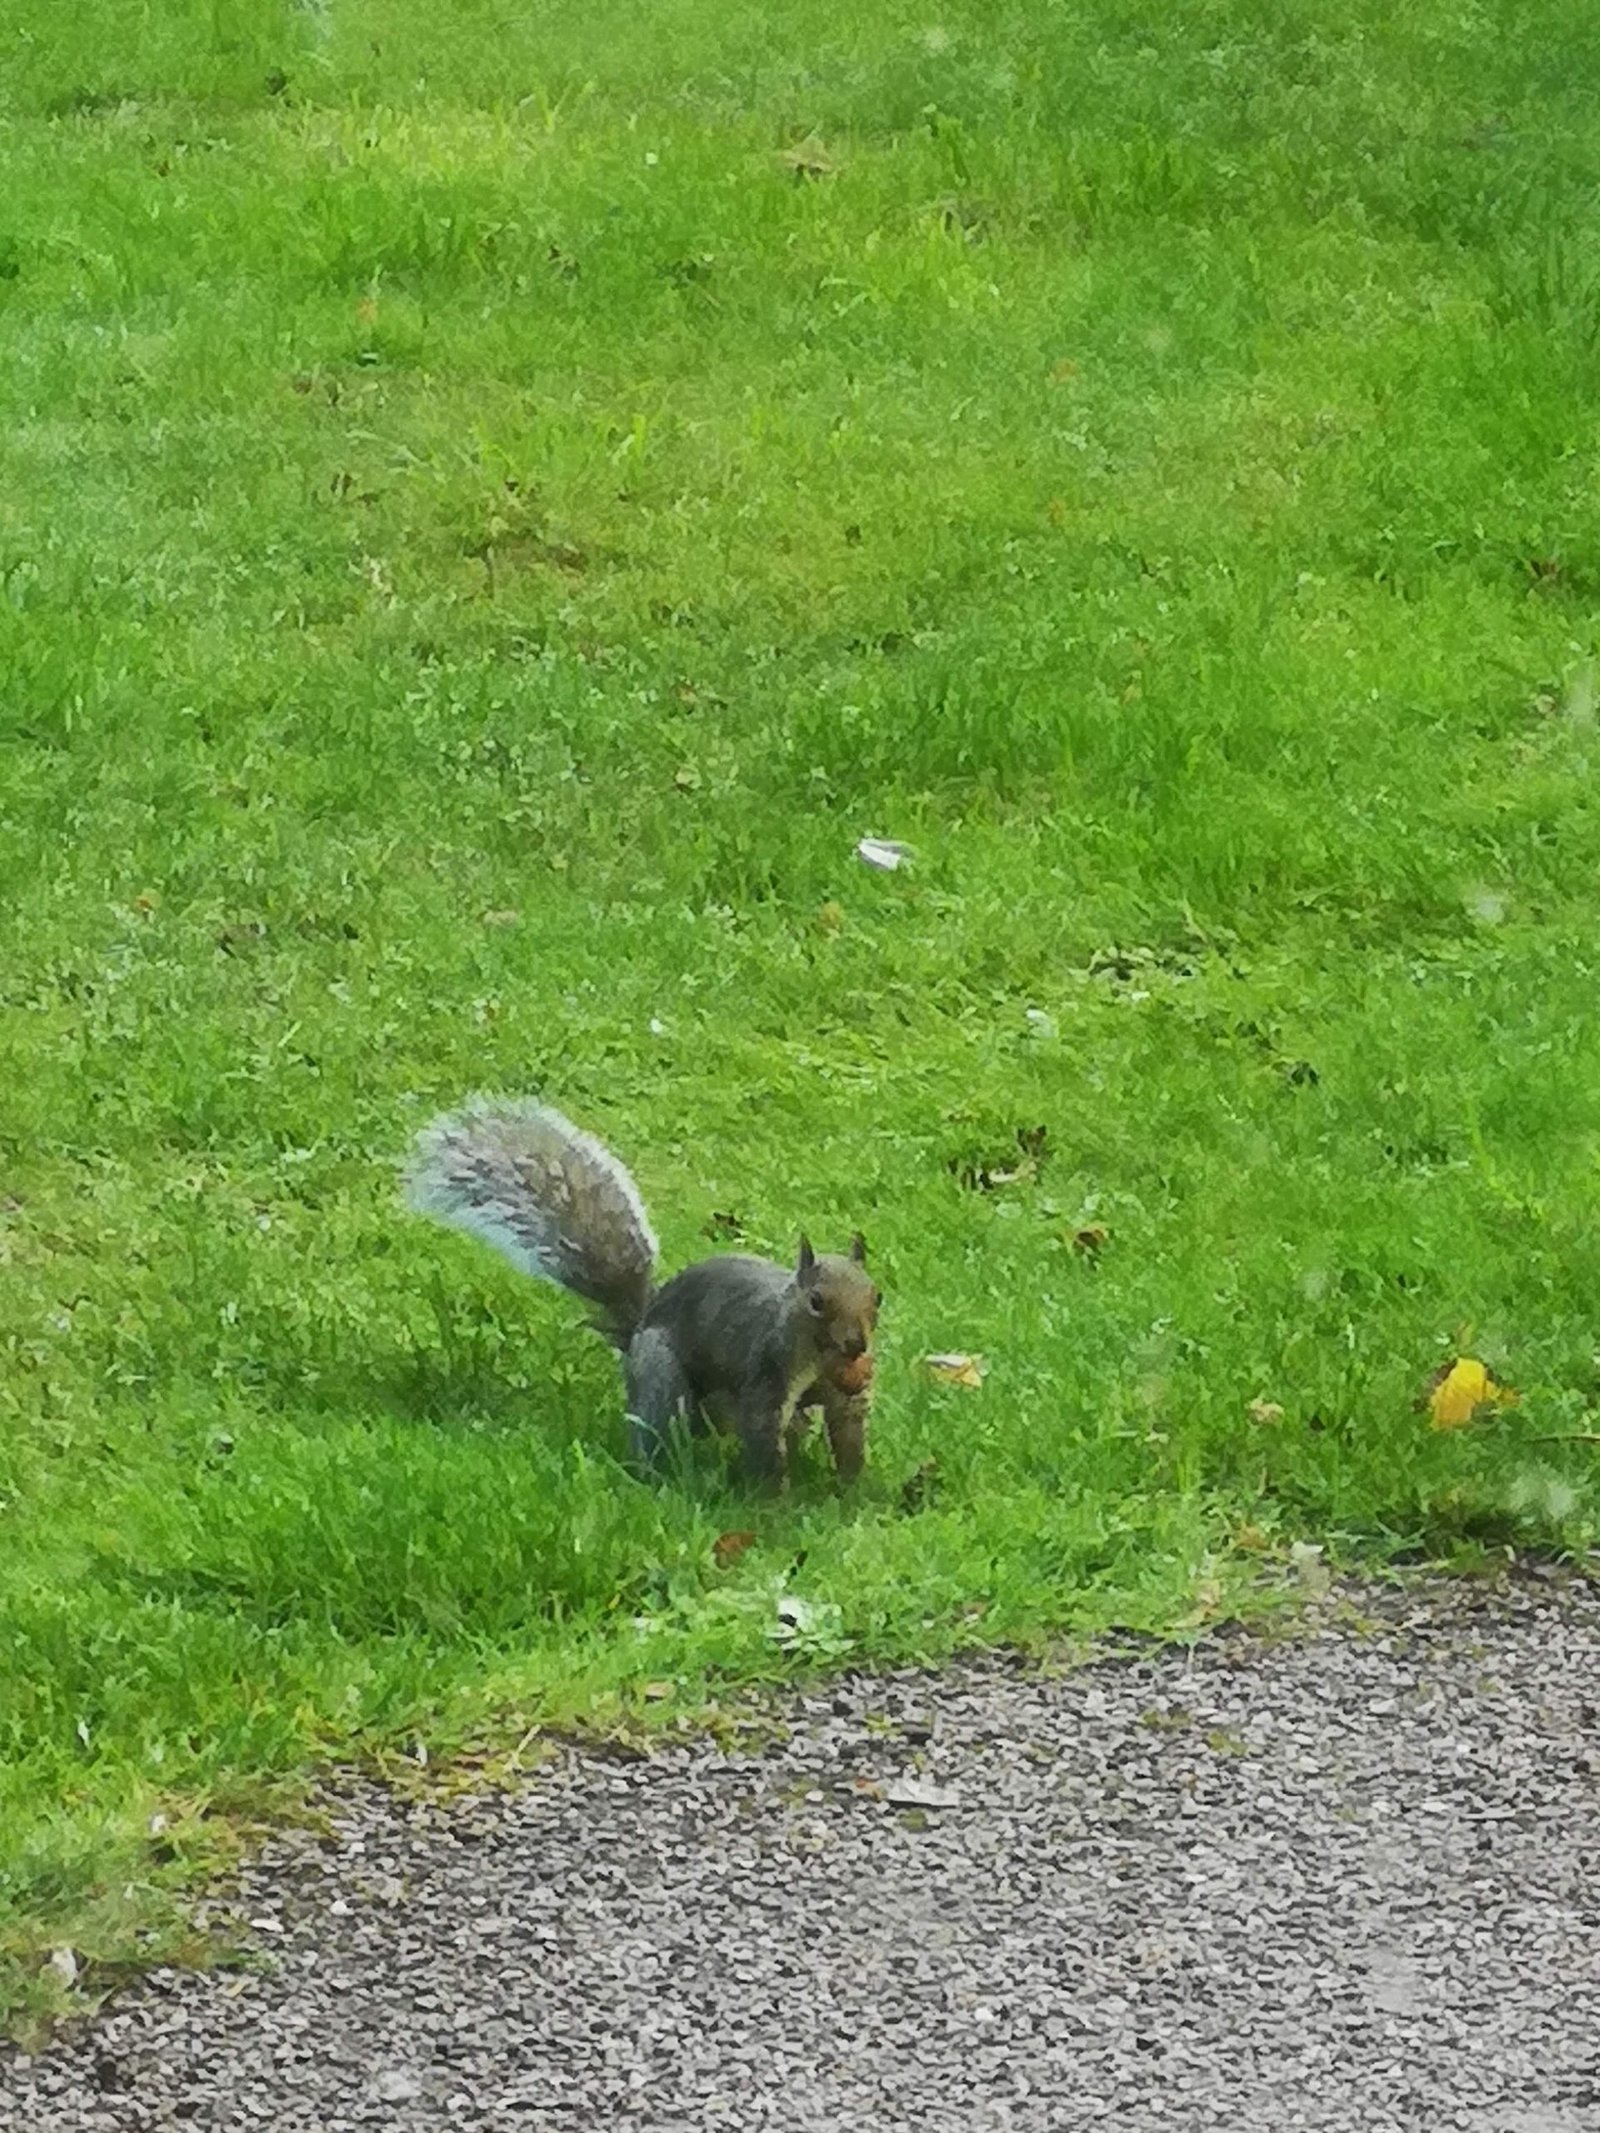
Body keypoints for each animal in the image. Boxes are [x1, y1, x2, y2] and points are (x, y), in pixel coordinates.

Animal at [401, 1100, 878, 1484]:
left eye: (878, 1298)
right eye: (816, 1302)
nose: (857, 1345)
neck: (817, 1358)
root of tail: (636, 1331)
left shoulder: (845, 1396)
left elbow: (849, 1435)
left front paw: (851, 1492)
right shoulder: (766, 1375)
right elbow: (764, 1444)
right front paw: (775, 1504)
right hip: (662, 1376)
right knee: (660, 1424)